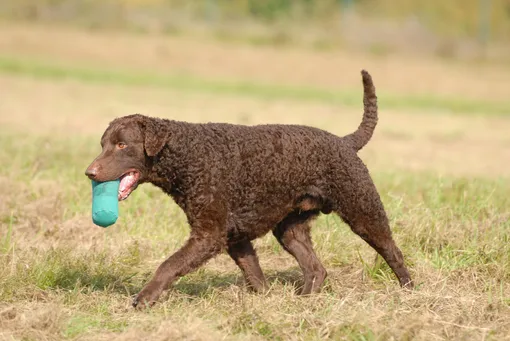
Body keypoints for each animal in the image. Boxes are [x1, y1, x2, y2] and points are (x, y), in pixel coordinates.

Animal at [86, 69, 414, 308]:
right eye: (102, 143)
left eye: (121, 145)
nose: (89, 173)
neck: (188, 154)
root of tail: (345, 141)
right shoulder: (235, 236)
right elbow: (255, 276)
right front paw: (266, 303)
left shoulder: (210, 235)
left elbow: (169, 265)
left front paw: (144, 298)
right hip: (290, 229)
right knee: (315, 268)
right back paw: (304, 302)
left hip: (363, 209)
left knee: (393, 252)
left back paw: (410, 292)